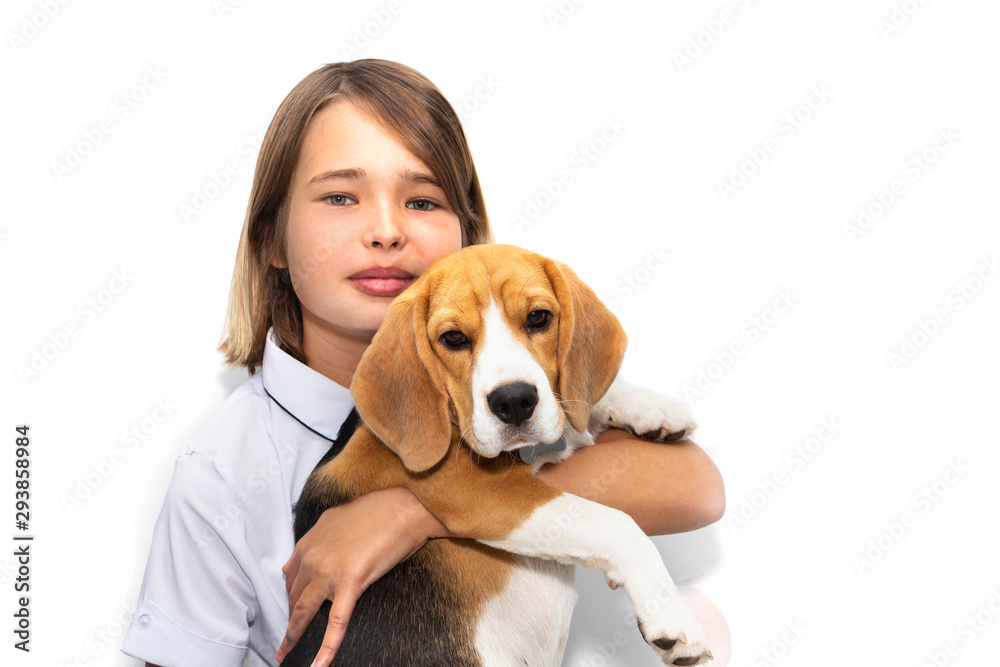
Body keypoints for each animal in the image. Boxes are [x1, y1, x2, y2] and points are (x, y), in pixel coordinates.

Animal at [286, 245, 716, 667]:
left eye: (538, 318)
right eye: (453, 338)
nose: (514, 401)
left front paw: (652, 408)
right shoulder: (472, 488)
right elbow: (615, 523)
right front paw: (671, 616)